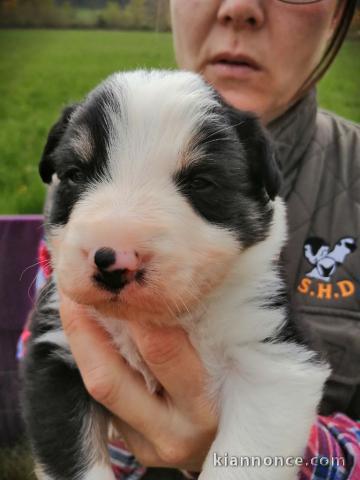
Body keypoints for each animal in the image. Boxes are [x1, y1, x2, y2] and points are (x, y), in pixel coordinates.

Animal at [20, 68, 330, 480]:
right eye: (74, 174)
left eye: (200, 182)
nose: (114, 258)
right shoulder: (55, 353)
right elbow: (73, 456)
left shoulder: (274, 356)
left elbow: (242, 456)